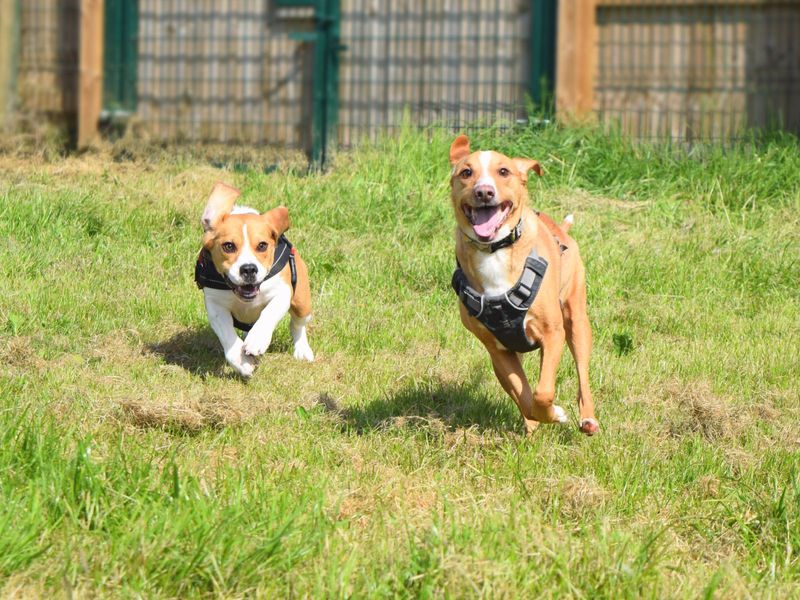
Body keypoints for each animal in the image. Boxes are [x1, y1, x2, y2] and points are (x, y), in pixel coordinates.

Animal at [195, 180, 314, 376]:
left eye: (262, 245)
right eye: (228, 246)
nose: (249, 269)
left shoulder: (282, 292)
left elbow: (269, 312)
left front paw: (257, 340)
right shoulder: (215, 305)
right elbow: (227, 335)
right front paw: (241, 361)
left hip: (302, 302)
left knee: (297, 325)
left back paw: (302, 350)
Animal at [446, 136, 596, 434]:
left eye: (504, 171)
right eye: (466, 173)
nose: (483, 192)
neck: (494, 250)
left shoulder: (552, 333)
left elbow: (543, 391)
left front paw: (555, 414)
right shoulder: (498, 351)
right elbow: (525, 397)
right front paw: (541, 419)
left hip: (576, 320)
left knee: (582, 372)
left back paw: (588, 419)